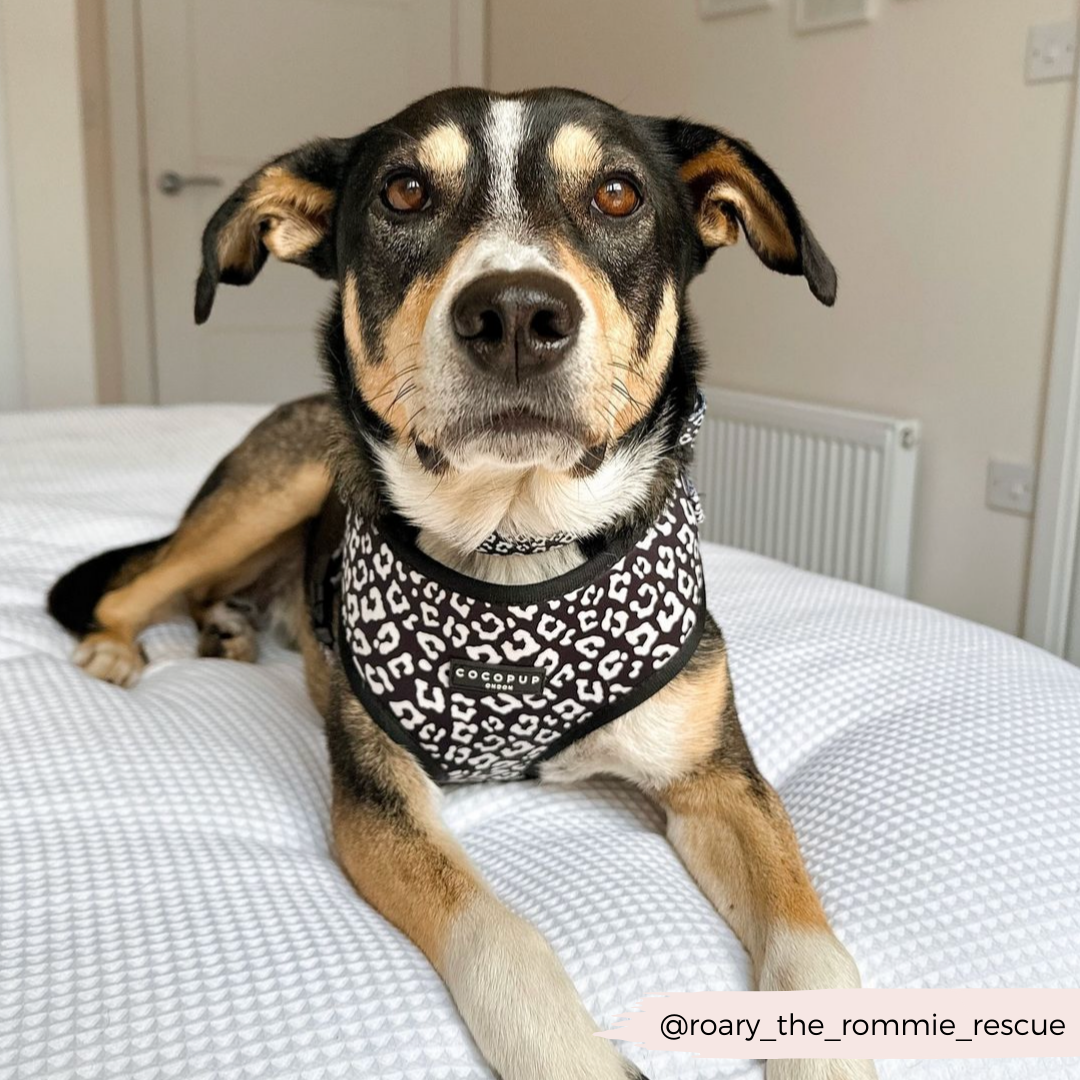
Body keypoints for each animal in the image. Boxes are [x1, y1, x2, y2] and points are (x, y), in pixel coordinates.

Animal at [52, 88, 876, 1075]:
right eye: (404, 192)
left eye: (617, 194)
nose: (516, 315)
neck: (517, 545)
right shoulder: (378, 801)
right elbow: (498, 935)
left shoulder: (719, 780)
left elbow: (811, 948)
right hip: (282, 481)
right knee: (136, 584)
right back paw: (116, 650)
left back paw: (229, 631)